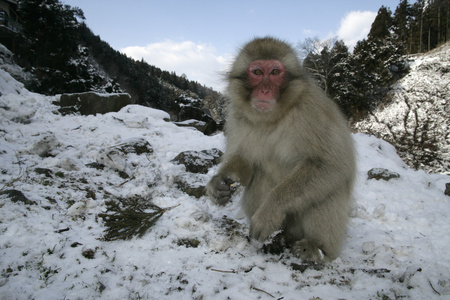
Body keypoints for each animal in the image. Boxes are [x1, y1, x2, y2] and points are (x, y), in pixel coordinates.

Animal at [206, 37, 356, 262]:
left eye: (276, 72)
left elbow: (332, 164)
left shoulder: (312, 111)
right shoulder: (236, 117)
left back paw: (316, 247)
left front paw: (270, 210)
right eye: (258, 72)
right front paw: (219, 182)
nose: (265, 90)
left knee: (328, 190)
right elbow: (244, 158)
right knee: (260, 175)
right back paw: (279, 238)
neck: (272, 118)